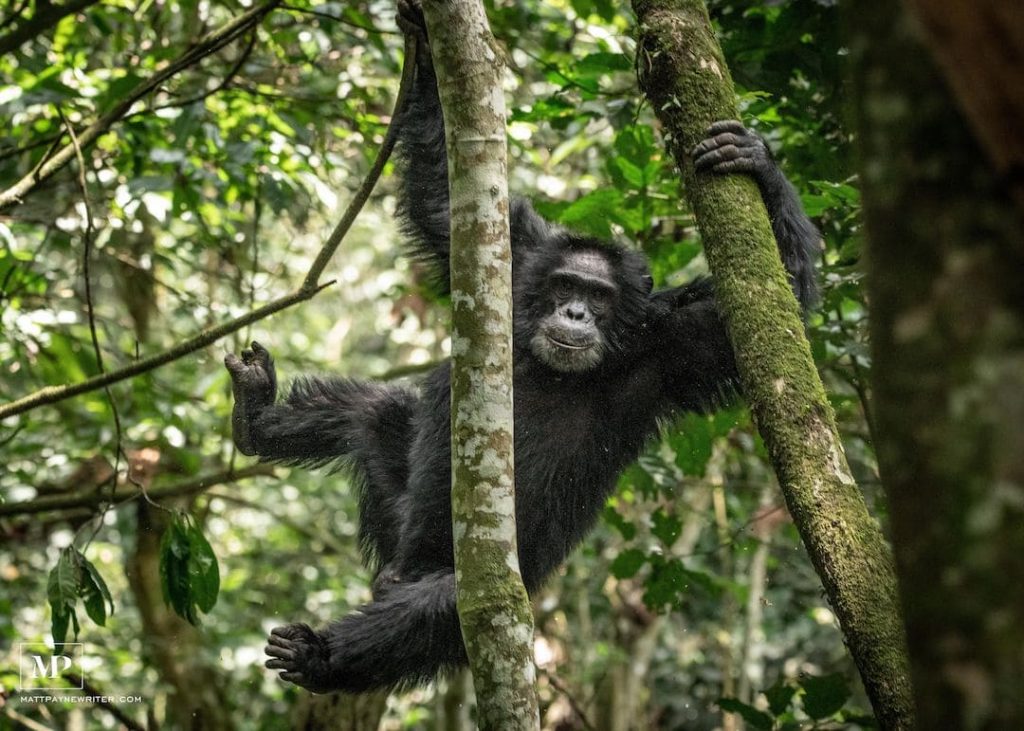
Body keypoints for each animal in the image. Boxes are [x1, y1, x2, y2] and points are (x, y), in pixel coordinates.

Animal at [228, 4, 819, 688]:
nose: (574, 311)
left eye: (599, 296)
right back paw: (257, 417)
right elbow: (443, 197)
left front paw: (755, 161)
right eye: (564, 285)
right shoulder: (513, 257)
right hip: (398, 522)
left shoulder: (677, 344)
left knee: (436, 607)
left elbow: (768, 309)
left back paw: (320, 654)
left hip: (479, 590)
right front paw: (420, 31)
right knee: (371, 413)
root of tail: (400, 569)